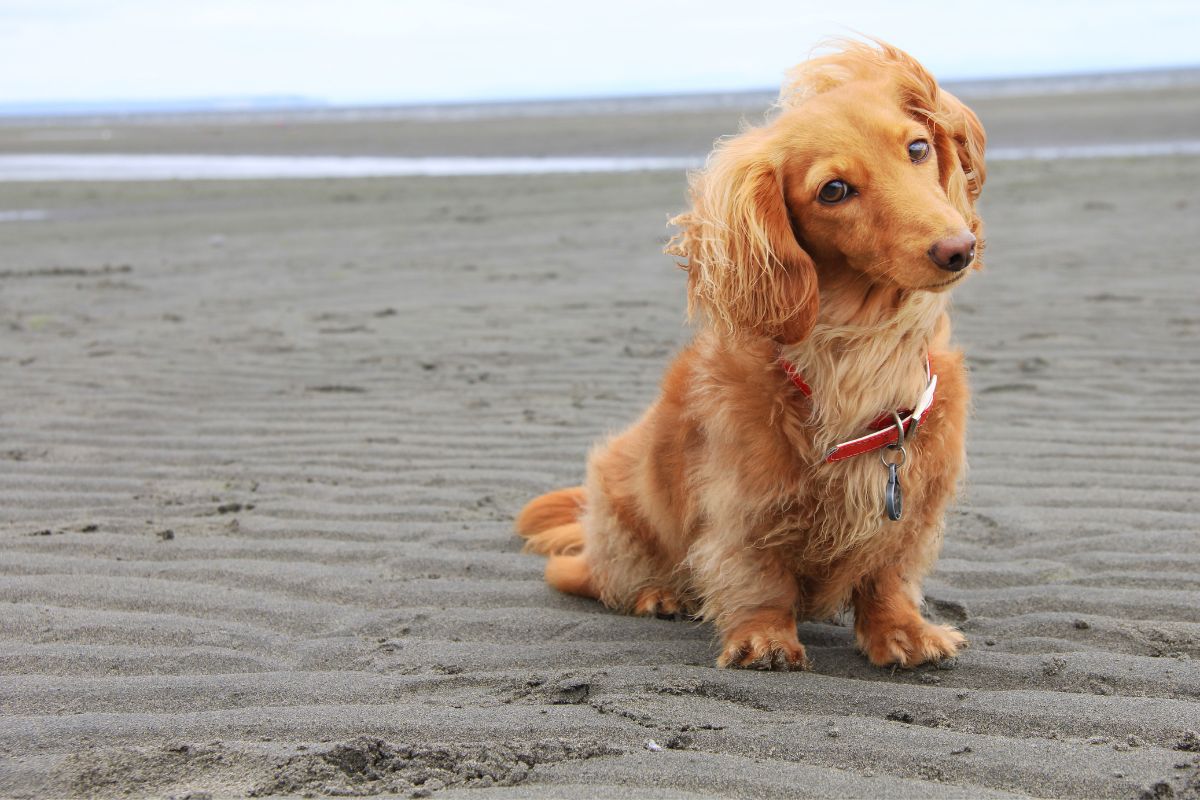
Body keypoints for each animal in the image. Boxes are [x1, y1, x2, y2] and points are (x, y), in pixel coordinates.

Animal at [513, 40, 984, 671]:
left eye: (917, 148)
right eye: (833, 191)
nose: (958, 249)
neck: (861, 353)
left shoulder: (911, 510)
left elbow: (887, 574)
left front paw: (904, 632)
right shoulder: (741, 509)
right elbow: (757, 578)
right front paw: (764, 640)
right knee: (586, 577)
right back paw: (656, 594)